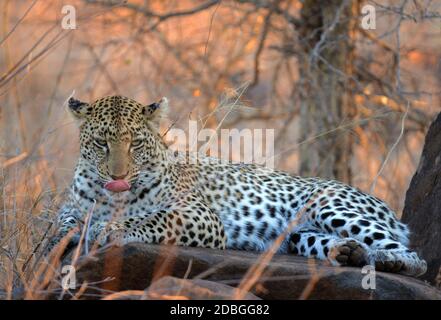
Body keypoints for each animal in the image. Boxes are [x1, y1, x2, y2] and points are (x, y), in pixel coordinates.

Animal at [48, 95, 426, 278]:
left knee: (415, 257)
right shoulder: (72, 207)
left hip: (330, 205)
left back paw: (388, 262)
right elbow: (62, 222)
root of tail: (387, 208)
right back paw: (349, 253)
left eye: (136, 144)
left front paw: (110, 228)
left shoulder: (199, 215)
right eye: (102, 143)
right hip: (300, 235)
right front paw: (64, 238)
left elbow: (149, 218)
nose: (119, 175)